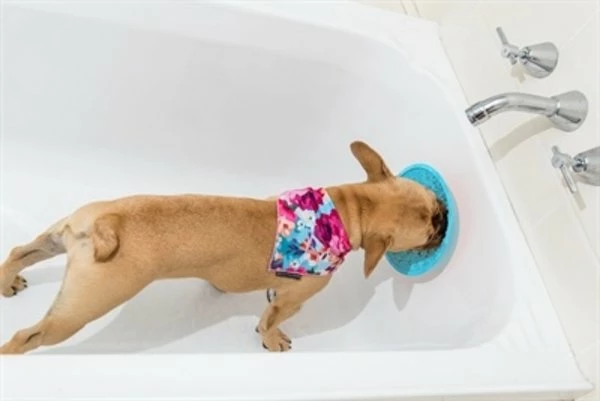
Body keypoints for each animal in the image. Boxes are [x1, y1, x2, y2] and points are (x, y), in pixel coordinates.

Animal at [0, 141, 447, 354]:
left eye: (432, 203)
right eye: (431, 225)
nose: (445, 214)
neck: (346, 209)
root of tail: (111, 222)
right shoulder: (297, 296)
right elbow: (271, 319)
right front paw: (272, 339)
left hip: (61, 236)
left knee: (21, 251)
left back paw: (8, 281)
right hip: (85, 306)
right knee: (28, 336)